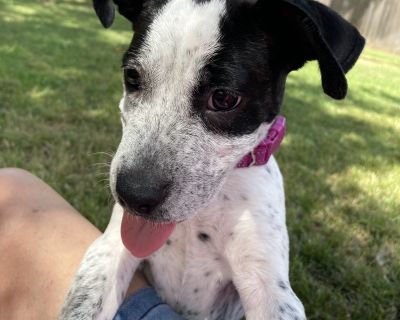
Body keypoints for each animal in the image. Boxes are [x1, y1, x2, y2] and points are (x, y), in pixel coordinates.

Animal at [60, 0, 366, 318]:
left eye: (224, 98)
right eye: (132, 77)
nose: (132, 196)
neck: (200, 216)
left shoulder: (269, 287)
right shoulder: (109, 250)